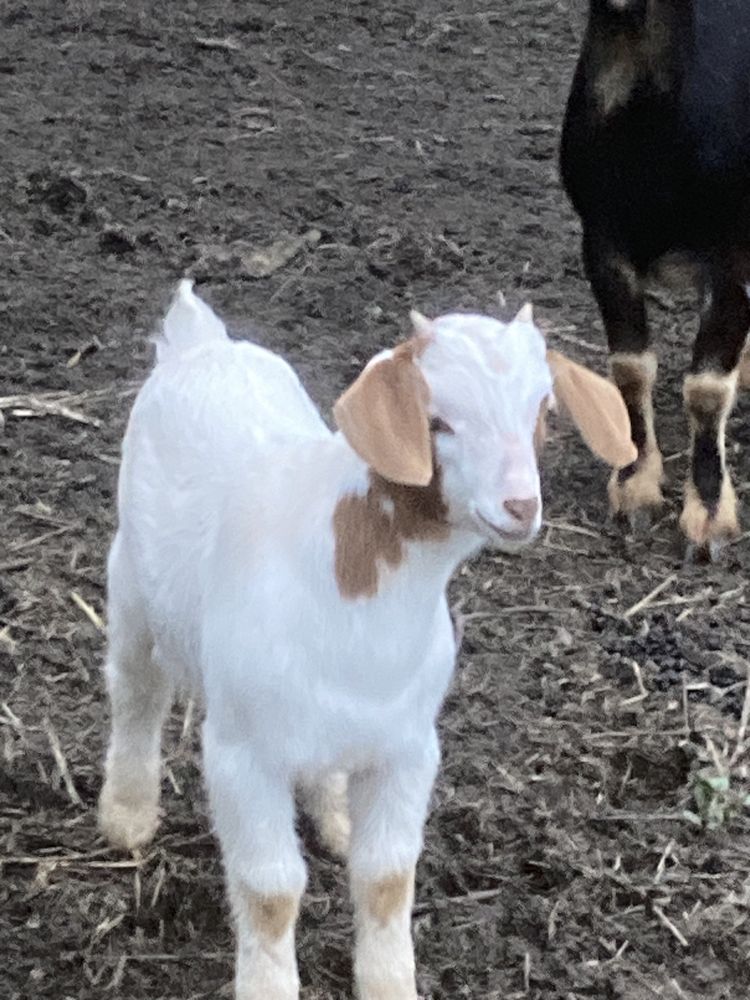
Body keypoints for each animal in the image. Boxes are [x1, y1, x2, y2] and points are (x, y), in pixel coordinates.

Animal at [560, 0, 750, 556]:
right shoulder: (602, 242)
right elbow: (630, 368)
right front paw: (634, 486)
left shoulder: (734, 253)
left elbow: (707, 389)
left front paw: (708, 516)